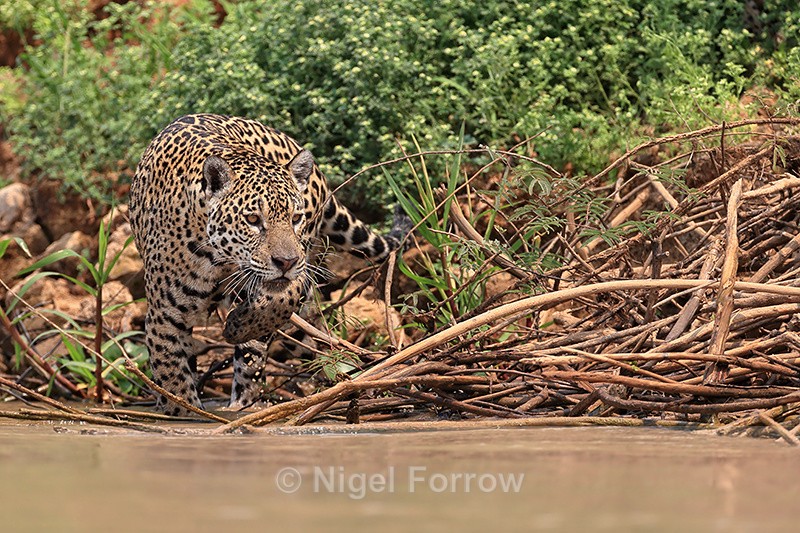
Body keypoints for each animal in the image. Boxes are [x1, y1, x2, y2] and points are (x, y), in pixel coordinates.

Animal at [129, 113, 409, 415]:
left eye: (296, 218)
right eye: (253, 220)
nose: (286, 261)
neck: (220, 259)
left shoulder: (292, 274)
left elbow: (278, 302)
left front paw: (239, 327)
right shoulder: (164, 317)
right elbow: (173, 380)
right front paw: (183, 411)